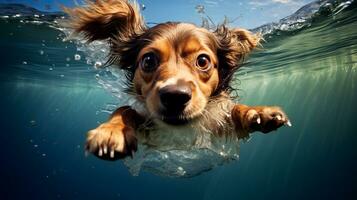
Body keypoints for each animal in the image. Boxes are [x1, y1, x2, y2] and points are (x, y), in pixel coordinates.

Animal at [63, 0, 290, 160]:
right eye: (148, 60)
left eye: (202, 61)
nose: (175, 96)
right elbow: (125, 109)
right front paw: (112, 131)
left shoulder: (220, 127)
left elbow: (234, 109)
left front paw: (257, 112)